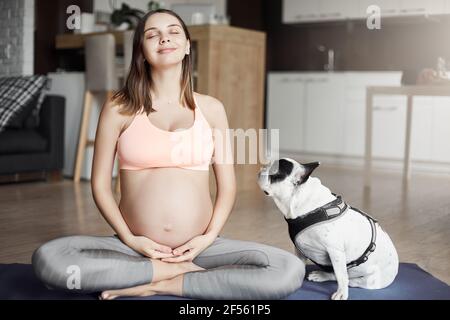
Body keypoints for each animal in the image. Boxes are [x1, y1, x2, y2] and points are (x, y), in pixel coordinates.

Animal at [258, 158, 400, 300]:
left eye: (274, 173)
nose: (261, 169)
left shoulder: (335, 251)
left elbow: (341, 276)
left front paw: (342, 293)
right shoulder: (299, 250)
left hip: (368, 280)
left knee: (347, 278)